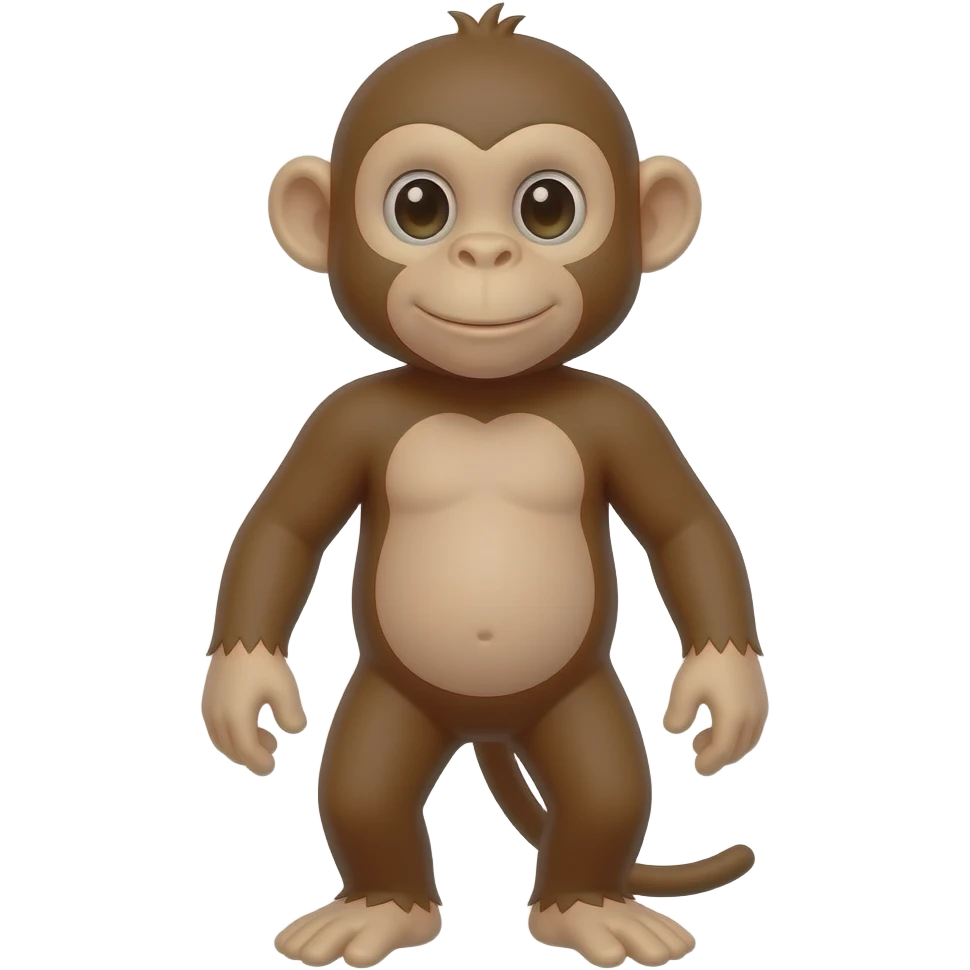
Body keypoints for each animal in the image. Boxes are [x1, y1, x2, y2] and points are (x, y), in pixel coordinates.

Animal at [201, 5, 769, 968]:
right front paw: (245, 695)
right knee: (363, 786)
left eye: (548, 206)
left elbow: (687, 528)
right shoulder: (343, 418)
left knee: (606, 786)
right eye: (419, 206)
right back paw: (383, 907)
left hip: (574, 697)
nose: (485, 252)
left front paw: (724, 696)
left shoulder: (626, 418)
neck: (486, 398)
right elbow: (282, 528)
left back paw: (587, 907)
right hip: (395, 696)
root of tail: (488, 725)